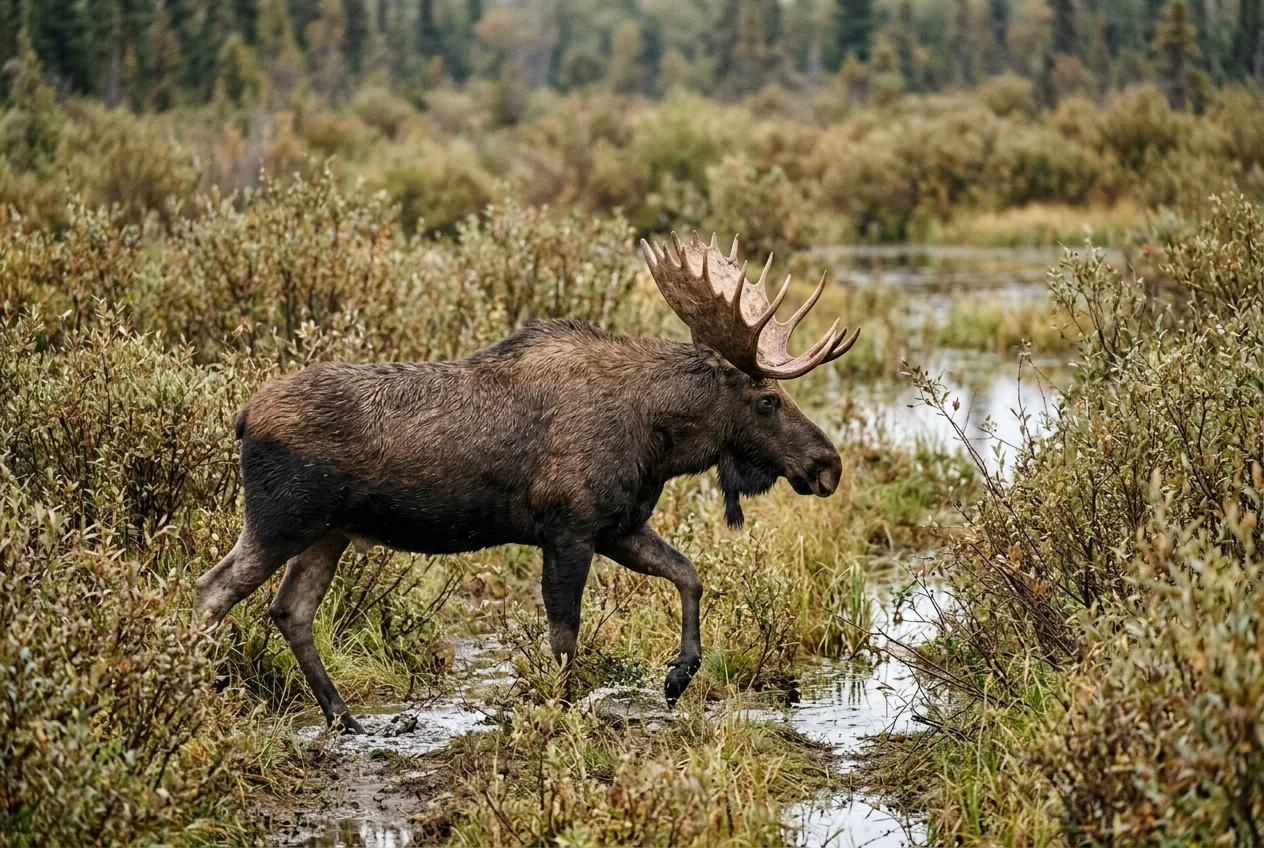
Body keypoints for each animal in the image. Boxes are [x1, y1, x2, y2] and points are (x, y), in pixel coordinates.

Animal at [193, 232, 859, 733]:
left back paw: (344, 716)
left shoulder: (618, 525)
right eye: (768, 399)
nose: (827, 464)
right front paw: (563, 712)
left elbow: (688, 573)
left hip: (329, 531)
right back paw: (197, 690)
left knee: (291, 609)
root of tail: (242, 417)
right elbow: (565, 636)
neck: (658, 441)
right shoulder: (568, 528)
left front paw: (678, 674)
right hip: (283, 518)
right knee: (212, 589)